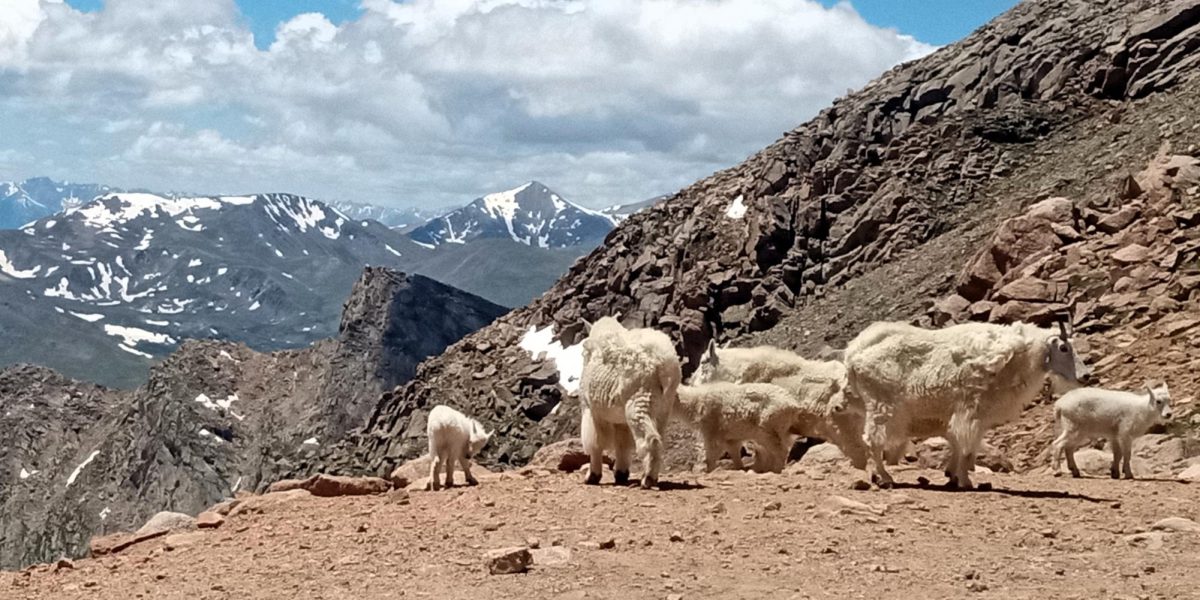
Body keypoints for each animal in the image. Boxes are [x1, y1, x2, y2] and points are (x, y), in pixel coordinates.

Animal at [580, 316, 686, 489]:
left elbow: (596, 443)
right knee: (659, 438)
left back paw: (648, 479)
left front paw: (592, 476)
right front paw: (621, 474)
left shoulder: (591, 409)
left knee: (651, 439)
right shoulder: (620, 421)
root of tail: (664, 364)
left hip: (639, 401)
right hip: (664, 407)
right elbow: (622, 444)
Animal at [840, 319, 1094, 487]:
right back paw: (884, 478)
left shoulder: (969, 415)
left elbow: (959, 444)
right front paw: (964, 480)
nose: (1085, 376)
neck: (1017, 358)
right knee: (872, 441)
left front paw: (952, 476)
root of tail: (853, 355)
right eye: (1064, 348)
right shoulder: (970, 410)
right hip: (881, 406)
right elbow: (966, 446)